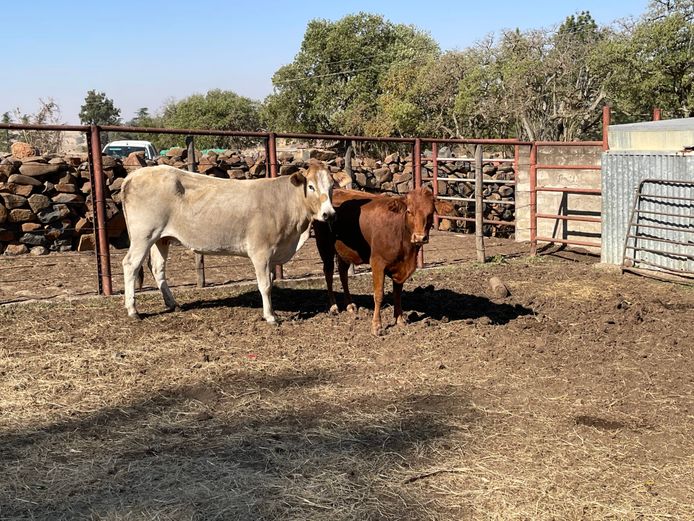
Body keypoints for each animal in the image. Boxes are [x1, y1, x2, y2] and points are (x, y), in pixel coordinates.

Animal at [121, 159, 347, 324]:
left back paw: (172, 304)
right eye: (311, 186)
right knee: (131, 264)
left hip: (161, 238)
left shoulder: (272, 255)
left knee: (158, 268)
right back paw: (133, 310)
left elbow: (271, 282)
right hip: (143, 235)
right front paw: (271, 317)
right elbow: (265, 285)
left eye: (332, 186)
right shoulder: (260, 252)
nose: (329, 214)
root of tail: (134, 175)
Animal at [314, 187, 435, 336]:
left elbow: (397, 295)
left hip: (344, 252)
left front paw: (400, 319)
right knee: (329, 273)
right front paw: (377, 326)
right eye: (409, 211)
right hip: (325, 247)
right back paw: (334, 307)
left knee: (343, 274)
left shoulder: (400, 268)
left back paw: (350, 305)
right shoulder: (377, 262)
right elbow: (378, 294)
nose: (419, 237)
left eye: (430, 214)